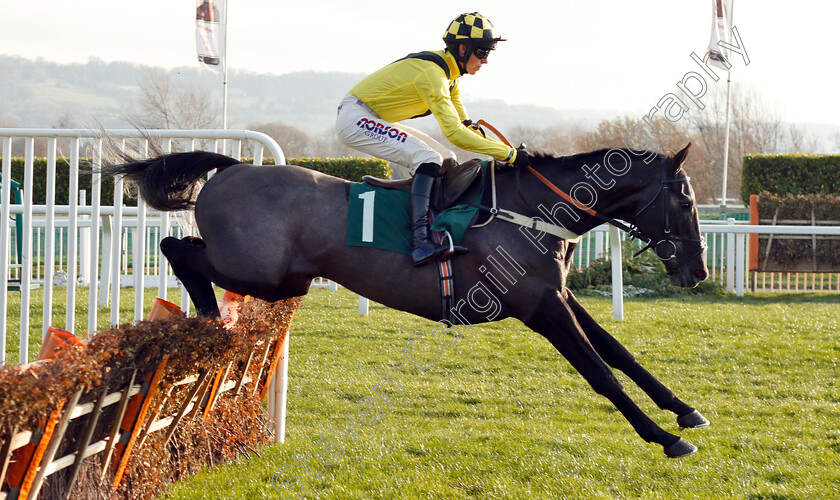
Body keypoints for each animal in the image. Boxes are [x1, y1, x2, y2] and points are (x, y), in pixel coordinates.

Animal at [103, 143, 708, 458]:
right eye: (683, 198)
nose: (697, 271)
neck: (532, 211)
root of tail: (231, 169)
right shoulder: (540, 309)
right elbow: (599, 372)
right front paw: (664, 439)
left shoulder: (556, 296)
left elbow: (619, 353)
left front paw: (684, 410)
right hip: (260, 272)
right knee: (175, 248)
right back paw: (209, 319)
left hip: (283, 280)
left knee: (183, 250)